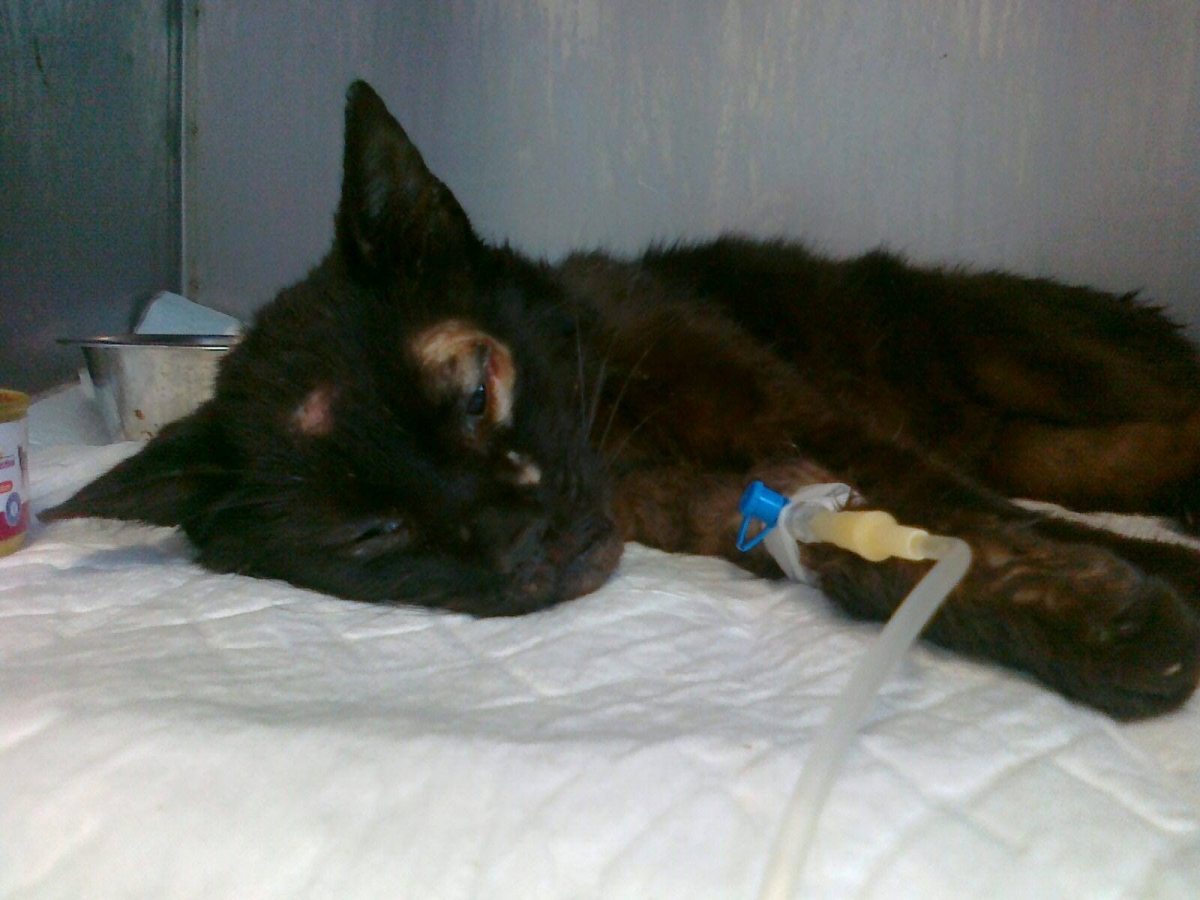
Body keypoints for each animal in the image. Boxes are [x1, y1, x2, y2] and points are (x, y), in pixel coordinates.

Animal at [43, 80, 1200, 720]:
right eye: (372, 533)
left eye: (475, 395)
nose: (522, 539)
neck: (623, 436)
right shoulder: (754, 506)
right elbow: (897, 559)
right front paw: (1111, 624)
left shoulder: (812, 420)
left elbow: (962, 513)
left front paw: (1149, 591)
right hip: (1018, 428)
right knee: (1088, 459)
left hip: (1037, 359)